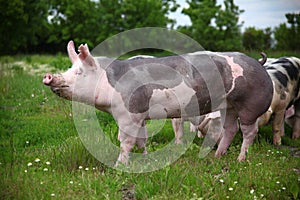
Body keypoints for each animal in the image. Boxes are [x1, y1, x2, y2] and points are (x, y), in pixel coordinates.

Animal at [43, 41, 274, 164]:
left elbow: (125, 141)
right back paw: (217, 156)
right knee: (231, 128)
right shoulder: (140, 116)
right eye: (69, 69)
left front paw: (120, 165)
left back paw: (240, 159)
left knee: (249, 132)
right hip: (229, 106)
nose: (49, 77)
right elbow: (141, 140)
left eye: (79, 72)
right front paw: (145, 158)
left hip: (249, 105)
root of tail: (259, 65)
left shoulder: (129, 114)